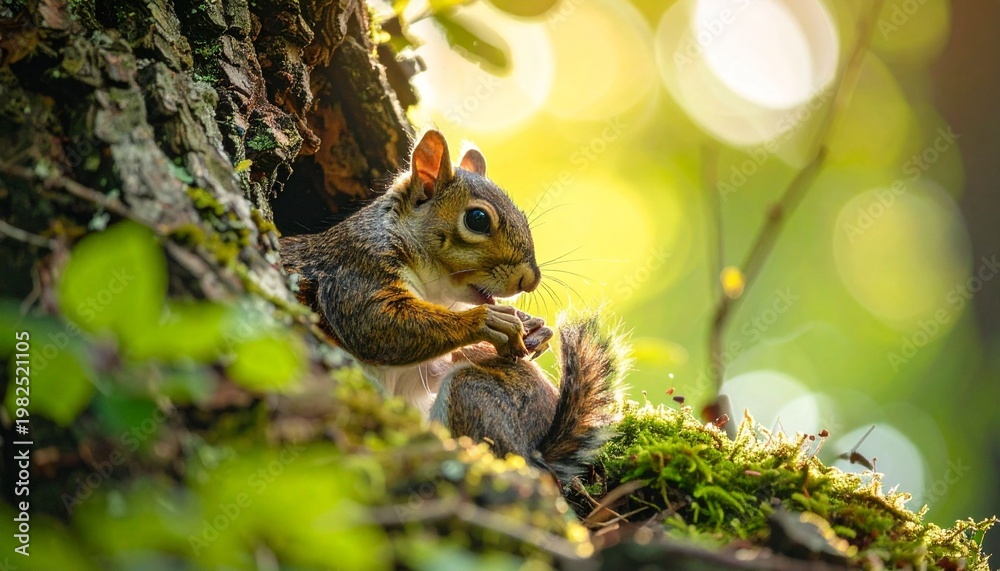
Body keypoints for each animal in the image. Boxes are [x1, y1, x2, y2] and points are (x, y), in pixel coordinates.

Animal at [280, 129, 627, 482]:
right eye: (477, 219)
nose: (531, 280)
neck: (435, 294)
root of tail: (539, 452)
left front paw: (534, 330)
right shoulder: (358, 267)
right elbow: (375, 323)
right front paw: (488, 320)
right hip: (472, 392)